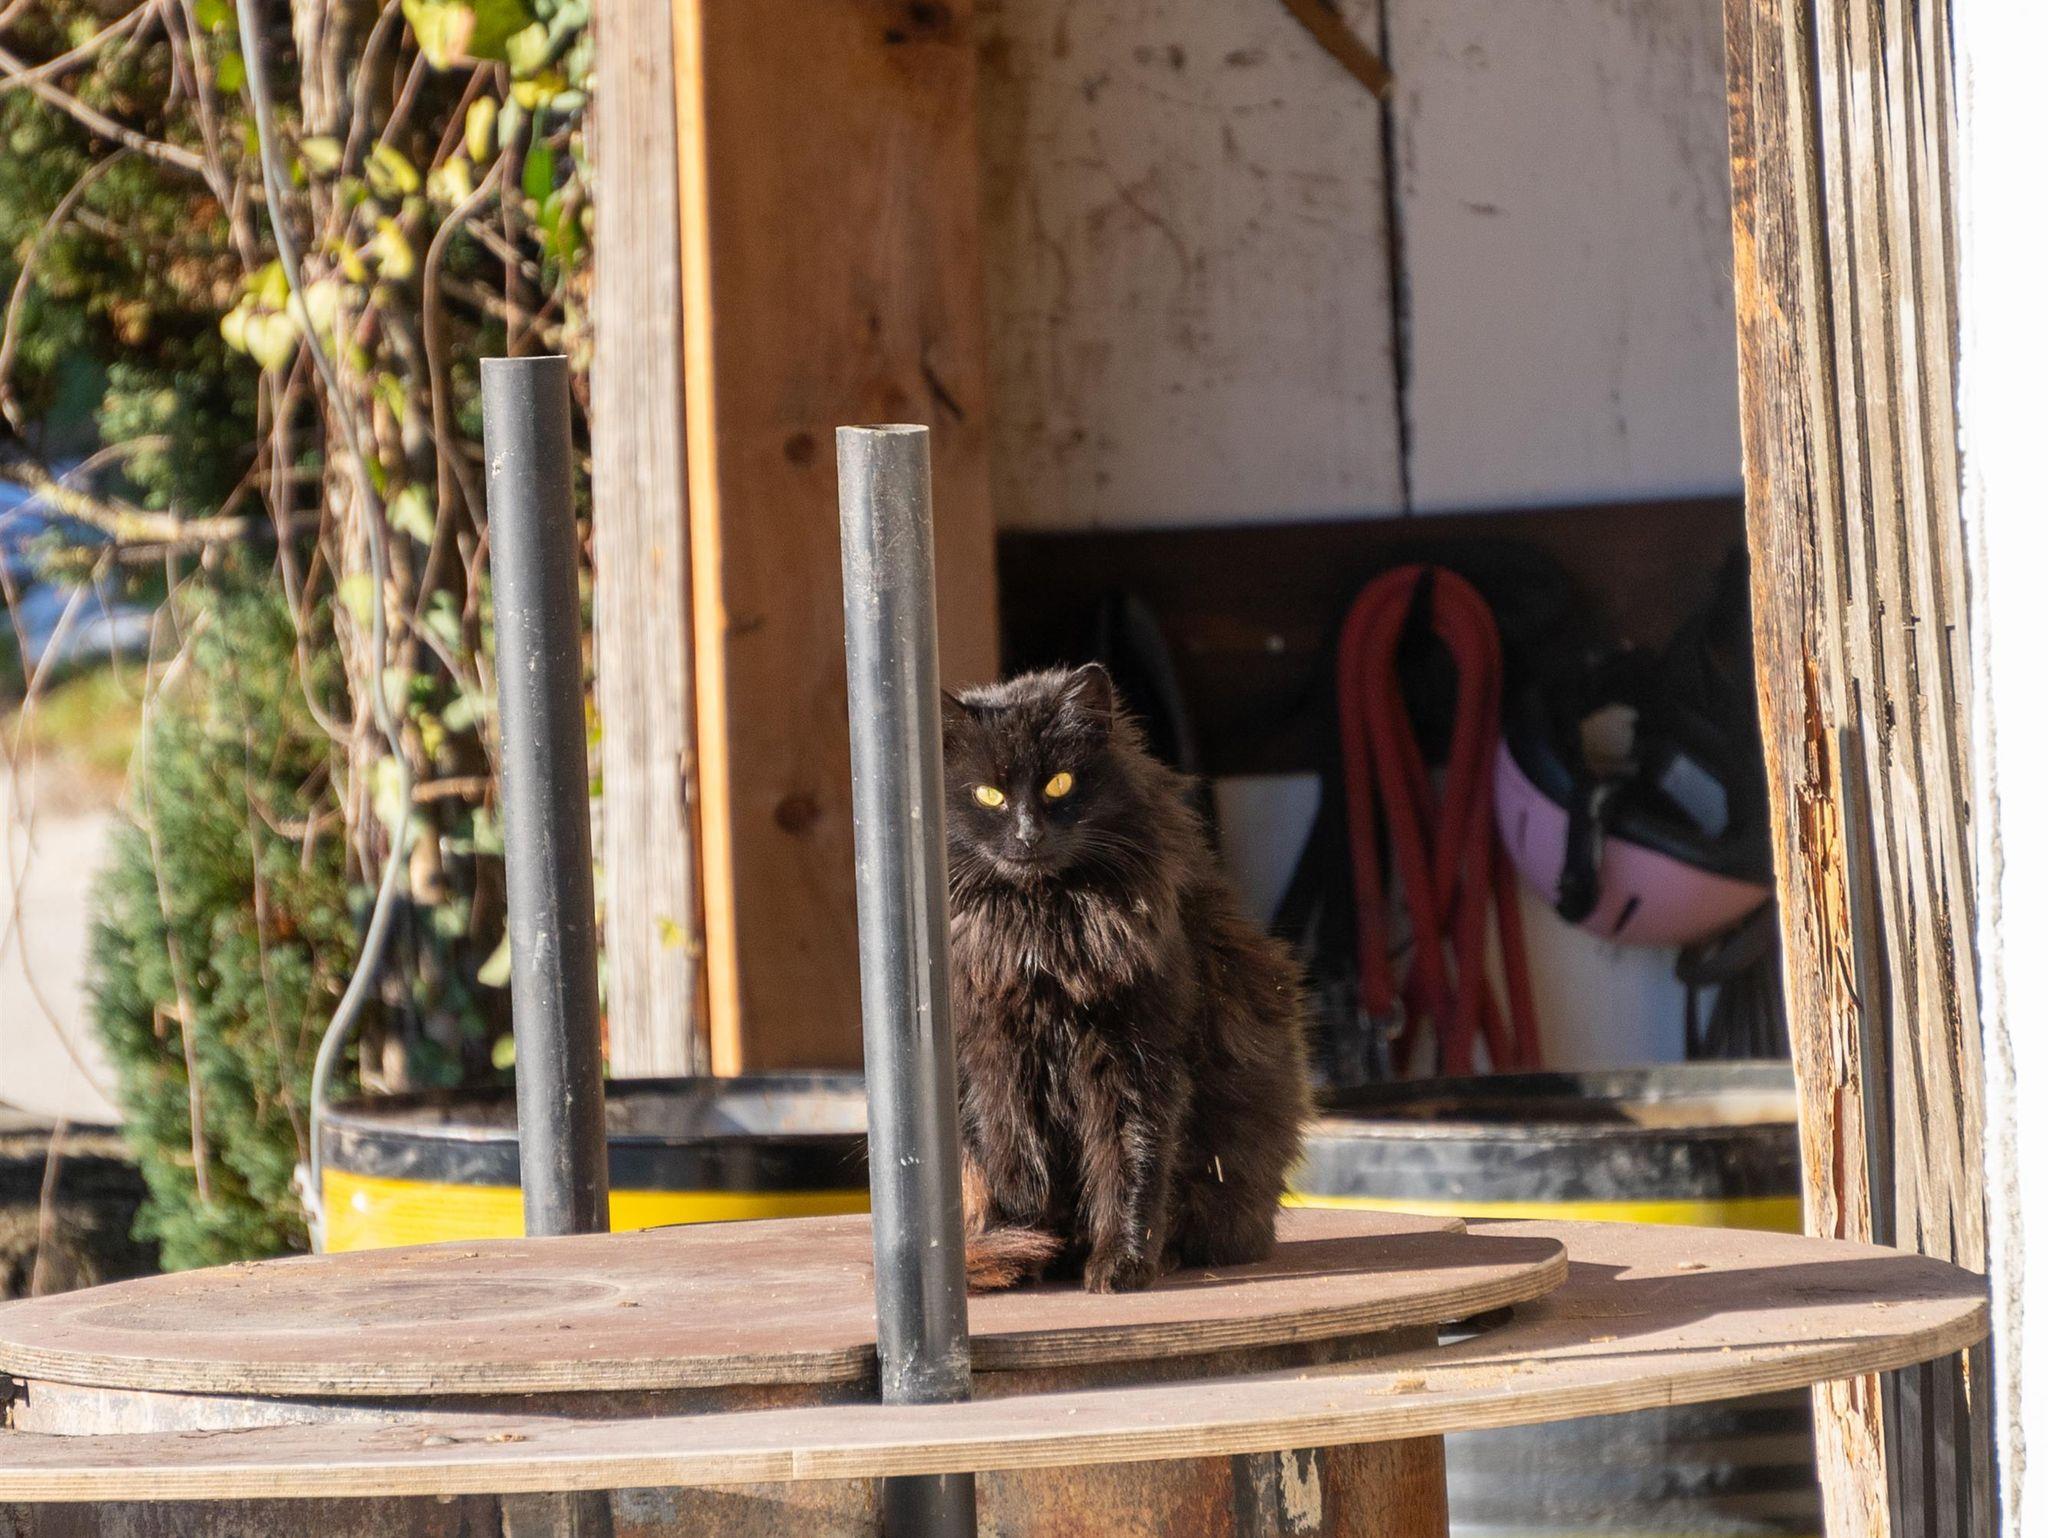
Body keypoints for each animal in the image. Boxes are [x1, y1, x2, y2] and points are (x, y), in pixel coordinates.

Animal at [942, 664, 1312, 1293]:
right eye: (989, 795)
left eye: (1059, 785)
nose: (1028, 836)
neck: (1043, 927)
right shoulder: (996, 1056)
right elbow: (1016, 1162)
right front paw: (1024, 1247)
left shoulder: (1135, 1054)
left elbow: (1130, 1164)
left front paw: (1122, 1262)